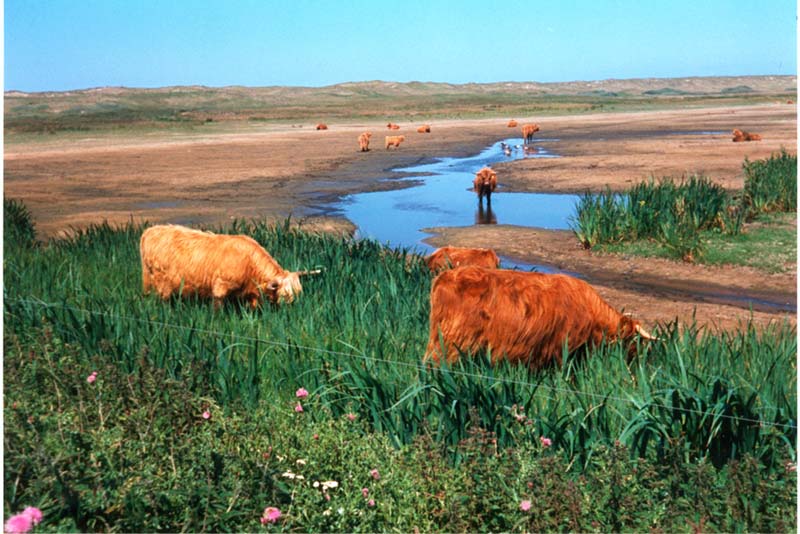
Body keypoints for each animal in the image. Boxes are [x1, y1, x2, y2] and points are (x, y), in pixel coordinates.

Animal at [139, 226, 318, 310]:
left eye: (299, 292)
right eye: (285, 294)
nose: (294, 308)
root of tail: (149, 231)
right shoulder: (220, 286)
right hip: (162, 282)